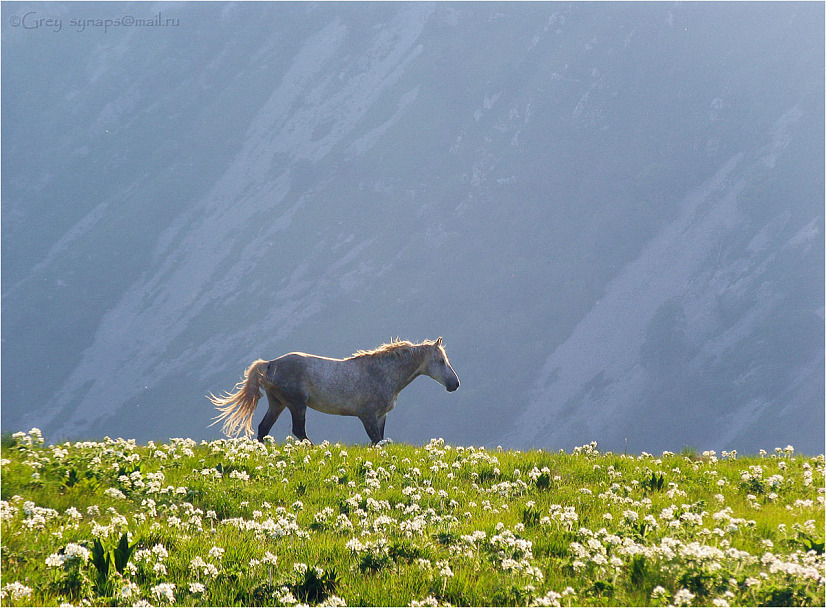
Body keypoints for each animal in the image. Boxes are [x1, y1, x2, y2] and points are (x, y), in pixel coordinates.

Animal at [209, 340, 460, 444]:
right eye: (440, 361)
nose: (455, 384)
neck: (381, 373)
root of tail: (270, 364)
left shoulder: (381, 416)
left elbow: (378, 441)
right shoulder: (367, 416)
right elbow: (376, 440)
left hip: (277, 403)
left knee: (263, 429)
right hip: (297, 405)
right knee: (298, 431)